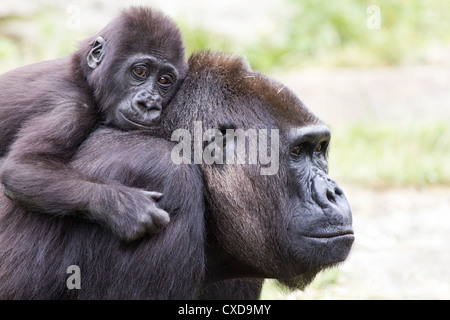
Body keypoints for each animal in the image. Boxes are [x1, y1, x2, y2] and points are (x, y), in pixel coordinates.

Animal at [0, 6, 186, 241]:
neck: (84, 76)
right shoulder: (73, 107)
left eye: (164, 80)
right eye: (140, 72)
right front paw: (123, 205)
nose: (149, 104)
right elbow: (23, 166)